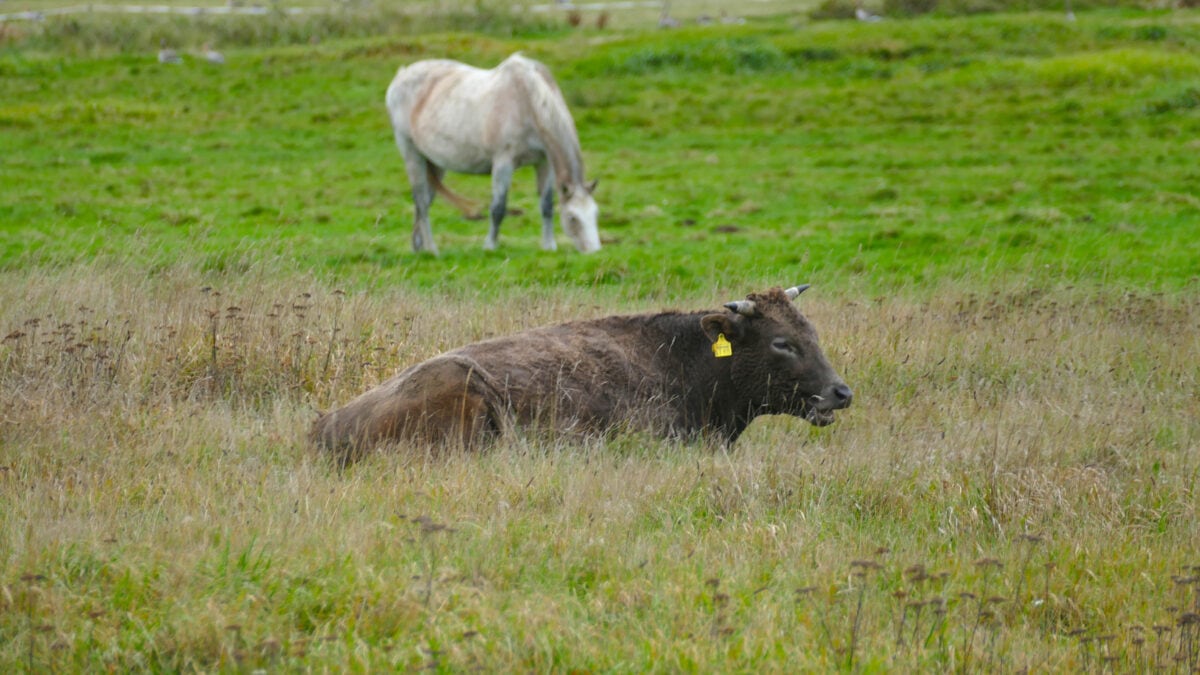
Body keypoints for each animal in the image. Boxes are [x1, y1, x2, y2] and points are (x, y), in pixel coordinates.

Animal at [384, 53, 600, 253]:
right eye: (573, 218)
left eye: (595, 214)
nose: (594, 251)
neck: (526, 102)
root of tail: (401, 75)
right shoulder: (503, 163)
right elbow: (498, 208)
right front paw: (490, 246)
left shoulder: (544, 163)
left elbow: (546, 205)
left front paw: (549, 246)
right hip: (412, 153)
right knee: (421, 200)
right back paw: (432, 249)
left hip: (434, 161)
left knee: (426, 201)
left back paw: (418, 247)